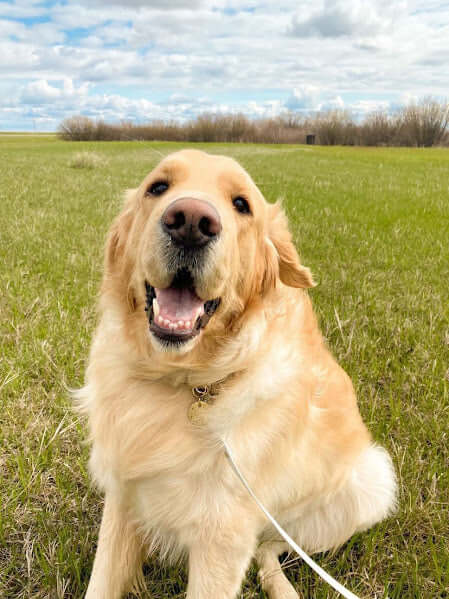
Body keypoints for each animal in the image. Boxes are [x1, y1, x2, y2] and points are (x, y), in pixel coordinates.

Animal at [78, 150, 396, 599]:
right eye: (158, 187)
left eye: (241, 204)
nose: (190, 222)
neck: (189, 380)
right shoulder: (124, 494)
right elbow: (102, 581)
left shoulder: (222, 538)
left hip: (369, 484)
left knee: (271, 548)